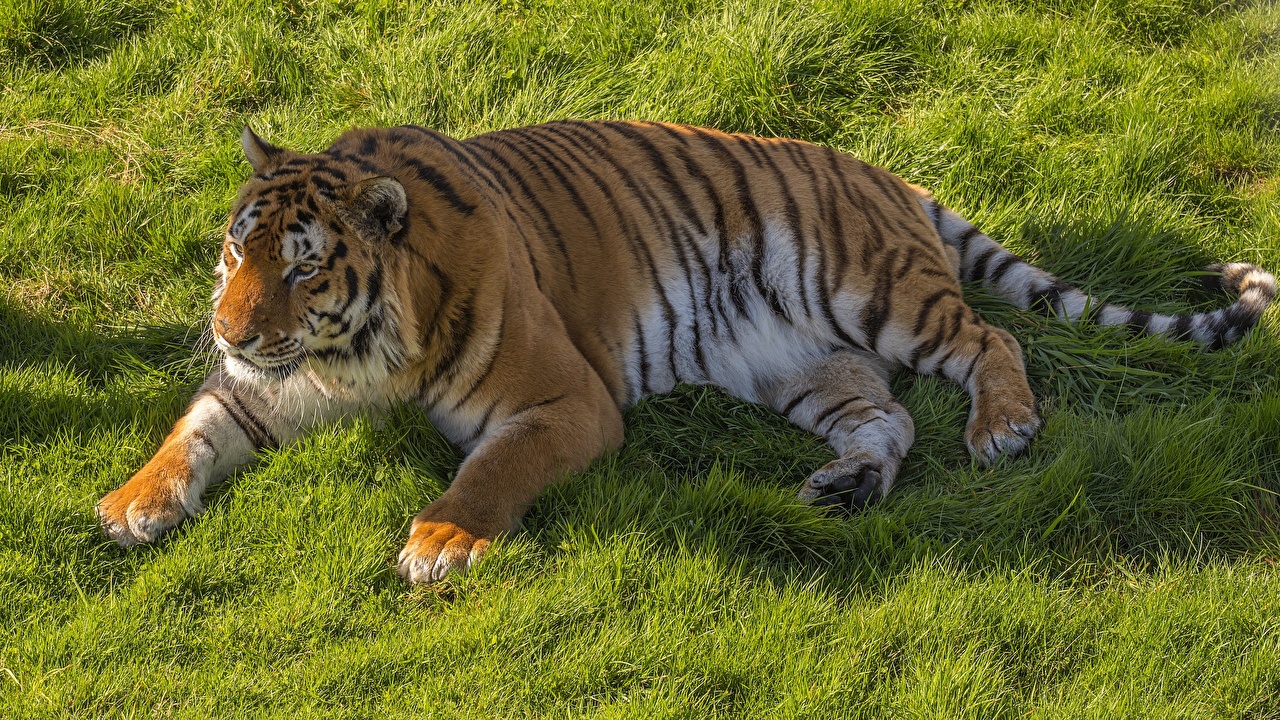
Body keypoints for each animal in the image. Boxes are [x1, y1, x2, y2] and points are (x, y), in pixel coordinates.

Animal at [96, 121, 1276, 584]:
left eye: (303, 269)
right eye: (235, 249)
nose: (229, 331)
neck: (350, 358)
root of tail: (887, 176)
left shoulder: (566, 402)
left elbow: (491, 469)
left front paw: (441, 539)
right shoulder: (264, 390)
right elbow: (195, 429)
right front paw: (131, 503)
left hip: (871, 290)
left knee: (989, 335)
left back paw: (1002, 426)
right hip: (797, 364)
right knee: (886, 414)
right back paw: (846, 487)